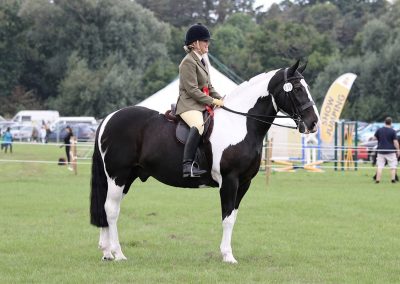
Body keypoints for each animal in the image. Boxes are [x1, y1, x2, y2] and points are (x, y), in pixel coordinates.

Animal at [90, 60, 318, 264]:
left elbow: (233, 217)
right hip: (118, 176)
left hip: (127, 177)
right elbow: (227, 218)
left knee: (106, 209)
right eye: (298, 88)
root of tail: (108, 118)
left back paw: (107, 253)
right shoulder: (230, 180)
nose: (313, 123)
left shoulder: (244, 183)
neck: (240, 124)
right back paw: (118, 253)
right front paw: (228, 256)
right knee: (111, 210)